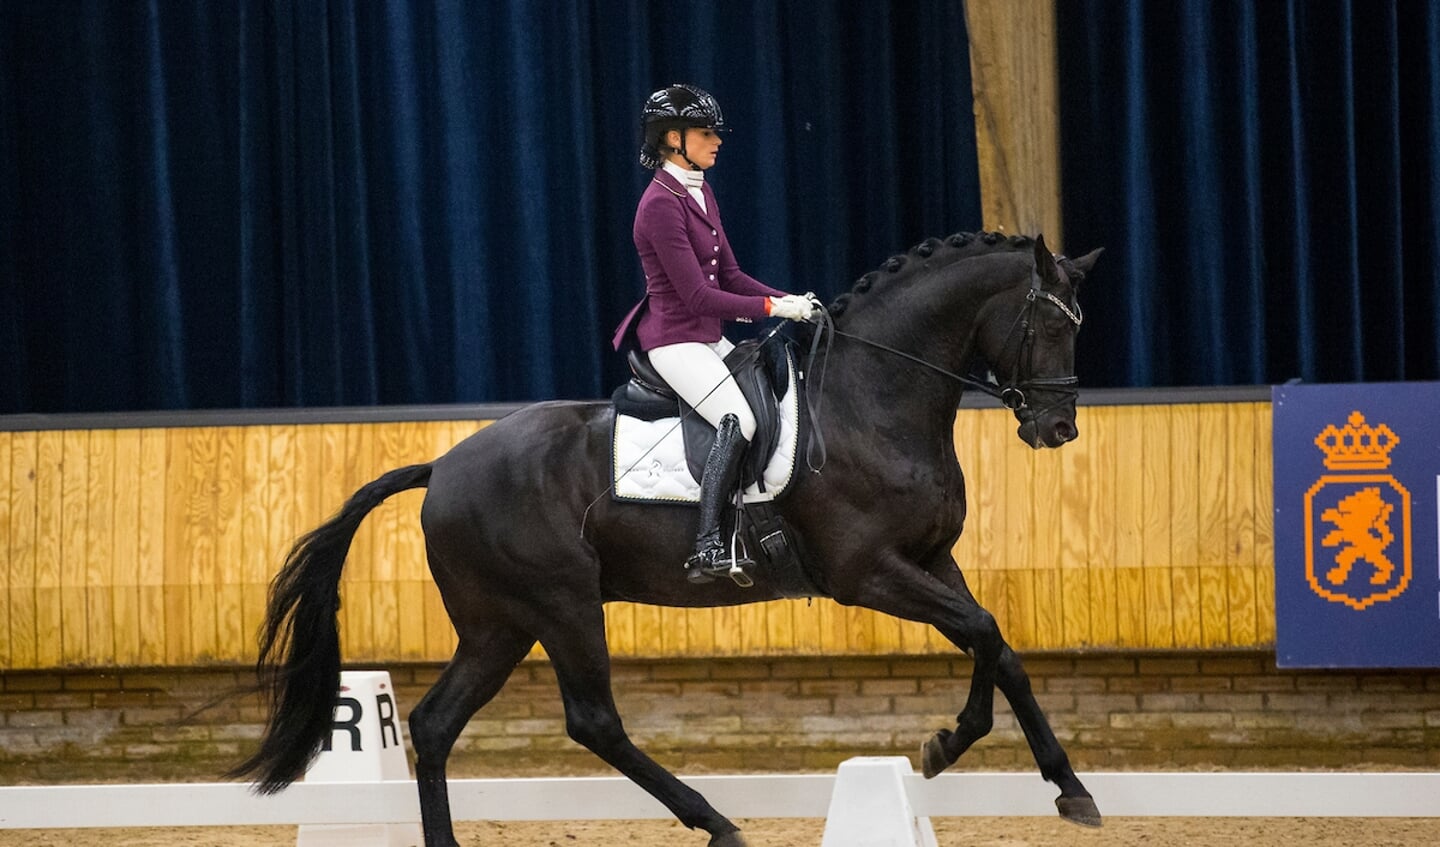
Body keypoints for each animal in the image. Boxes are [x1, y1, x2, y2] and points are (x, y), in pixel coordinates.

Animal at [236, 231, 1105, 847]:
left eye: (1079, 326)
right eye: (1042, 322)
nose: (1057, 428)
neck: (871, 401)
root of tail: (442, 465)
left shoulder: (930, 558)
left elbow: (998, 647)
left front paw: (1048, 778)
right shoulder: (867, 572)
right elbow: (983, 630)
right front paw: (963, 749)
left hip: (498, 624)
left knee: (434, 724)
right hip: (559, 604)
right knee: (592, 720)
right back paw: (717, 822)